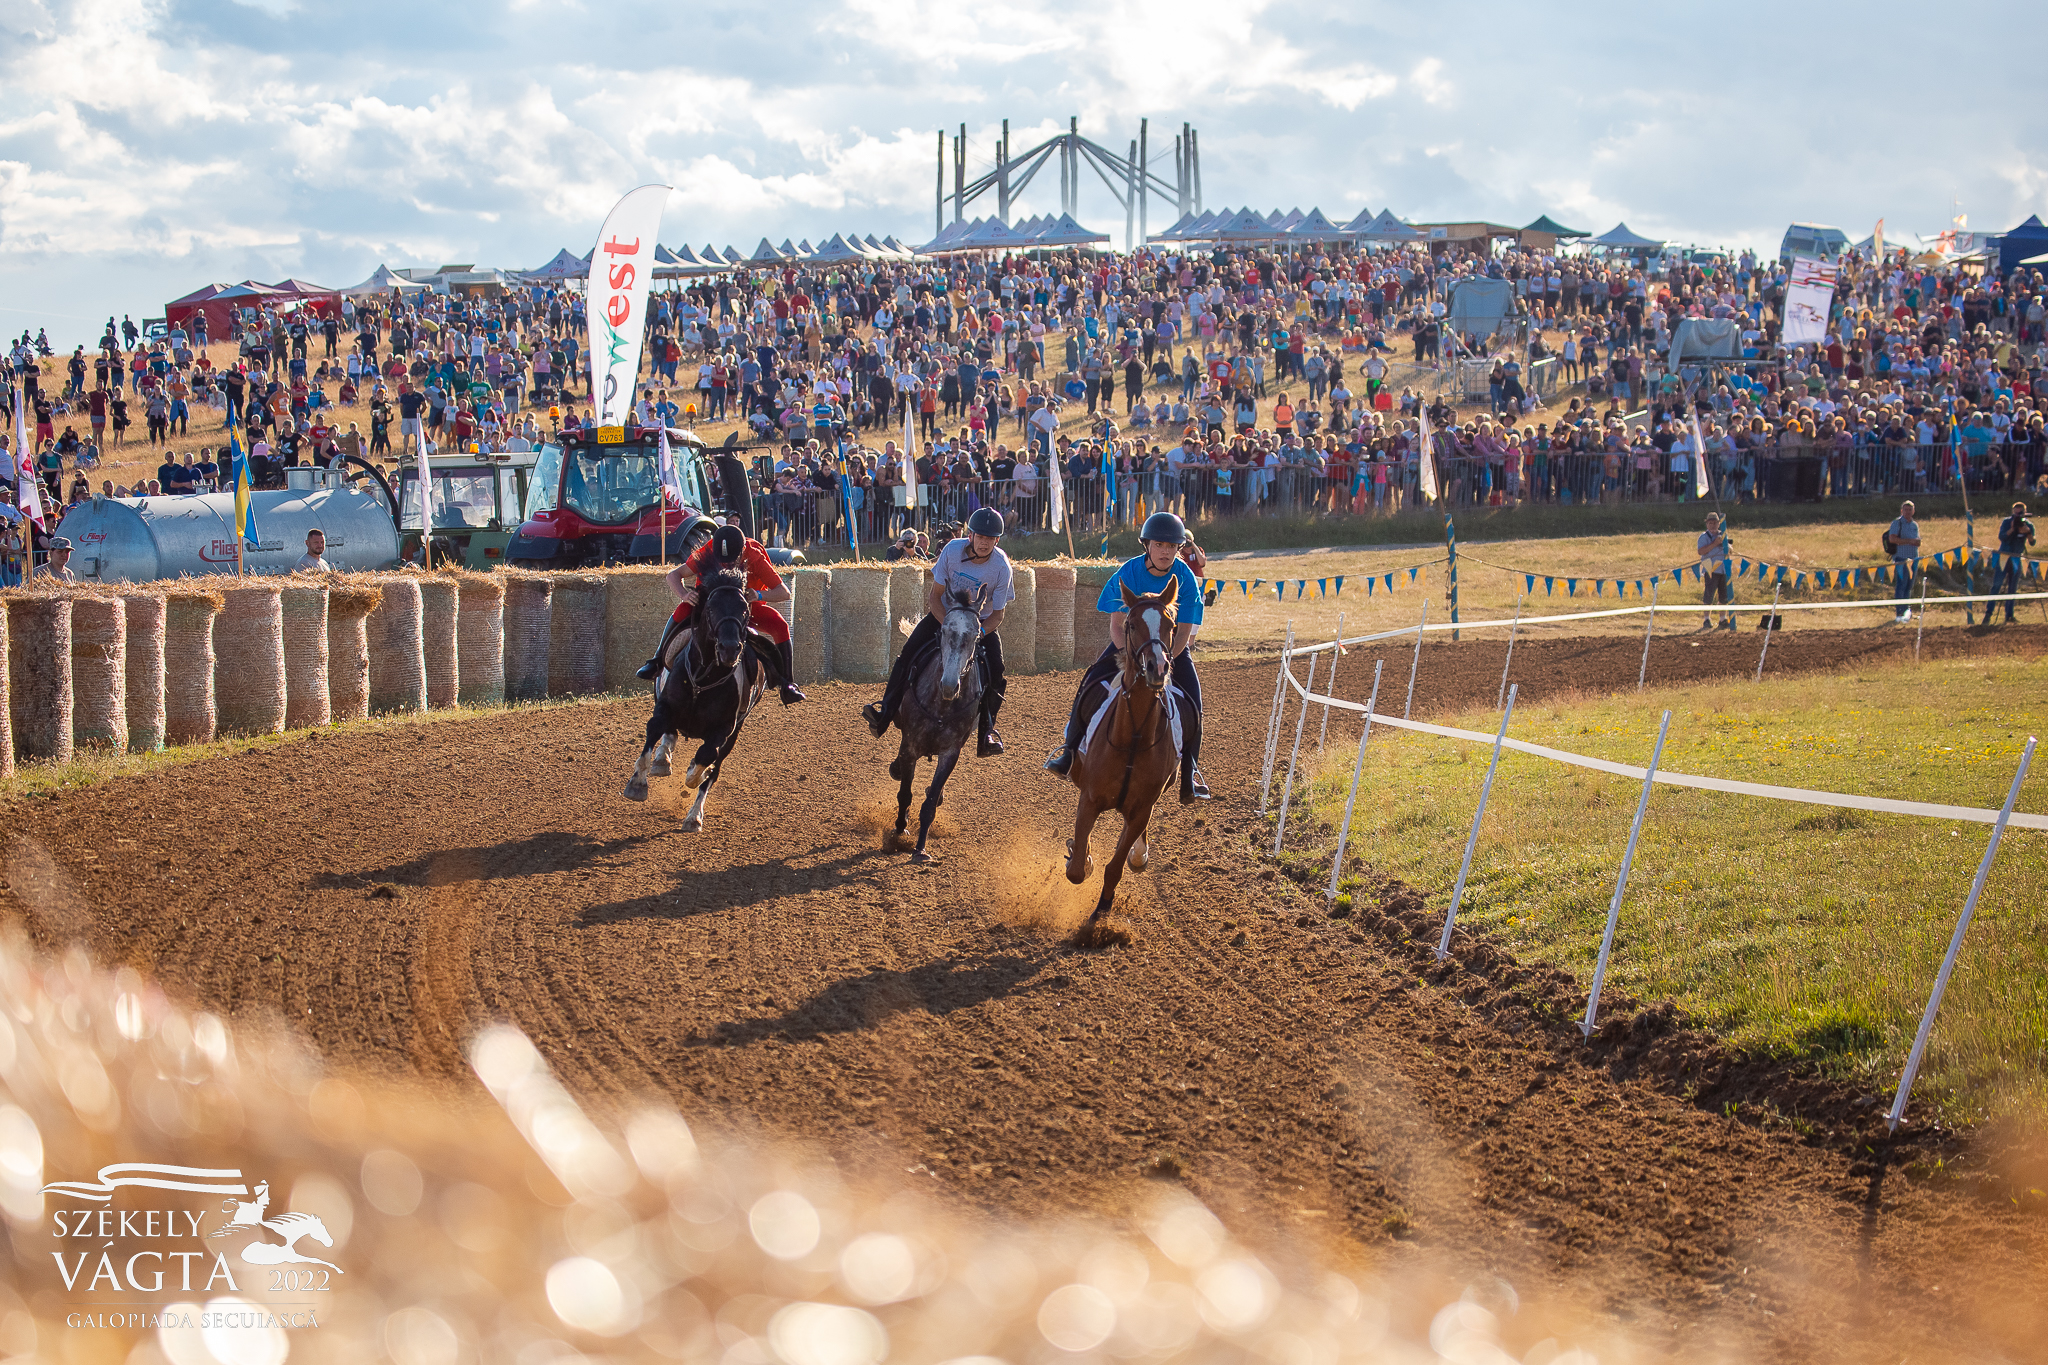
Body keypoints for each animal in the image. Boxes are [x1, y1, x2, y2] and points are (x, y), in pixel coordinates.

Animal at [622, 560, 770, 826]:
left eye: (745, 610)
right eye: (710, 608)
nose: (730, 648)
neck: (703, 679)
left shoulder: (725, 729)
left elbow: (706, 761)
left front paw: (695, 777)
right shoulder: (664, 705)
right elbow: (654, 731)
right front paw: (638, 783)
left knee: (711, 763)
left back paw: (693, 815)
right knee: (669, 733)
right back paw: (662, 760)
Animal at [1056, 573, 1187, 945]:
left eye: (1171, 624)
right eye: (1130, 624)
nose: (1157, 667)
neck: (1134, 735)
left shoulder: (1142, 808)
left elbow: (1114, 867)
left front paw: (1100, 916)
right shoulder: (1090, 798)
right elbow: (1076, 869)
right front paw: (1081, 857)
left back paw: (1138, 854)